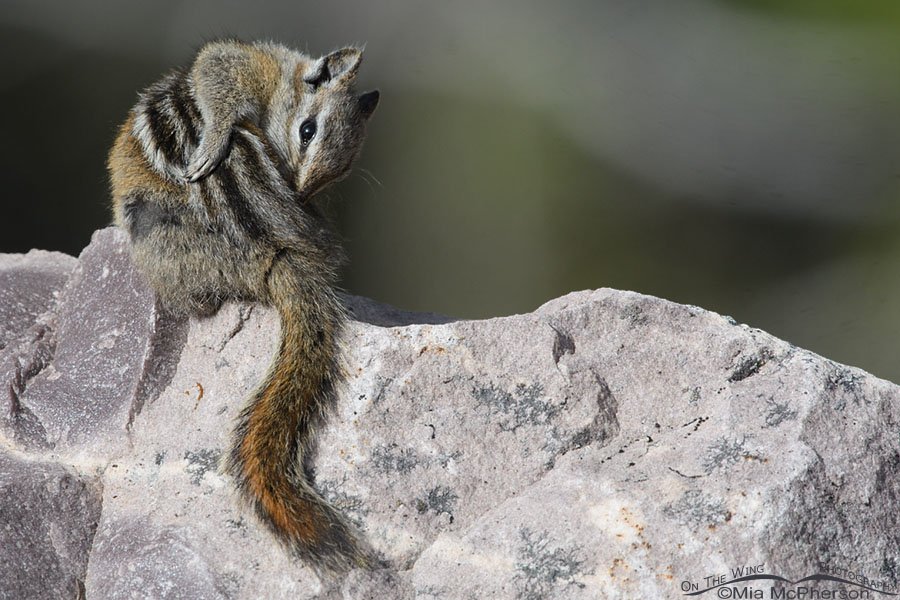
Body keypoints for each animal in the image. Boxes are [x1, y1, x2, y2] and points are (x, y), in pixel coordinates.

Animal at [107, 39, 380, 573]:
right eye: (308, 130)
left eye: (342, 166)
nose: (300, 191)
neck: (284, 78)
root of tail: (274, 252)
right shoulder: (244, 65)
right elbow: (215, 71)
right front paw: (215, 140)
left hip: (151, 234)